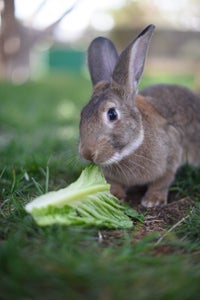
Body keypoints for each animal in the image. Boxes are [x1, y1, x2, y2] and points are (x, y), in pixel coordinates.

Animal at [77, 24, 200, 207]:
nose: (87, 152)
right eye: (82, 114)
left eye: (112, 114)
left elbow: (162, 182)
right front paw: (114, 196)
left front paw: (152, 201)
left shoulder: (171, 159)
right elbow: (114, 184)